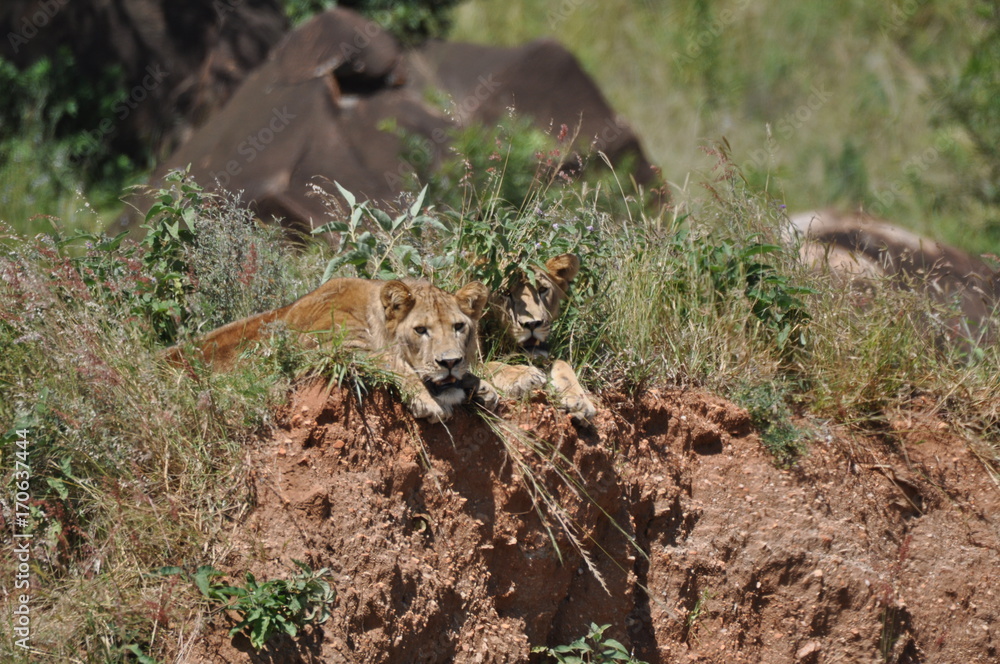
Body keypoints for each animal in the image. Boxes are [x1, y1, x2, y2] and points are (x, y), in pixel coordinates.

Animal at [164, 278, 498, 422]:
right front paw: (428, 402)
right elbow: (391, 361)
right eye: (420, 330)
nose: (450, 362)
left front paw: (483, 387)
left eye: (459, 326)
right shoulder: (329, 346)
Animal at [482, 253, 597, 421]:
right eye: (506, 292)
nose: (532, 324)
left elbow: (563, 363)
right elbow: (491, 365)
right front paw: (523, 376)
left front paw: (580, 400)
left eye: (542, 289)